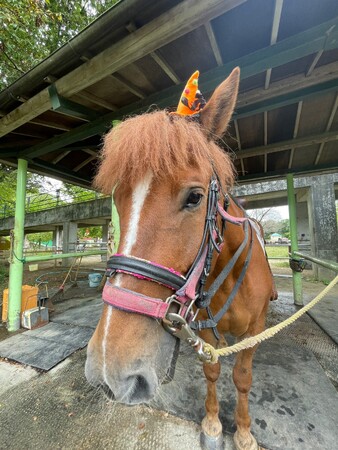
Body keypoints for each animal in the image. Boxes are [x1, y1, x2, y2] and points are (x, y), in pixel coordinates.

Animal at [86, 67, 274, 450]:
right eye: (118, 199)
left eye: (195, 197)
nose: (109, 372)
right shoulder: (207, 335)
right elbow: (212, 369)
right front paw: (213, 424)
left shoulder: (255, 330)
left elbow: (242, 377)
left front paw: (244, 432)